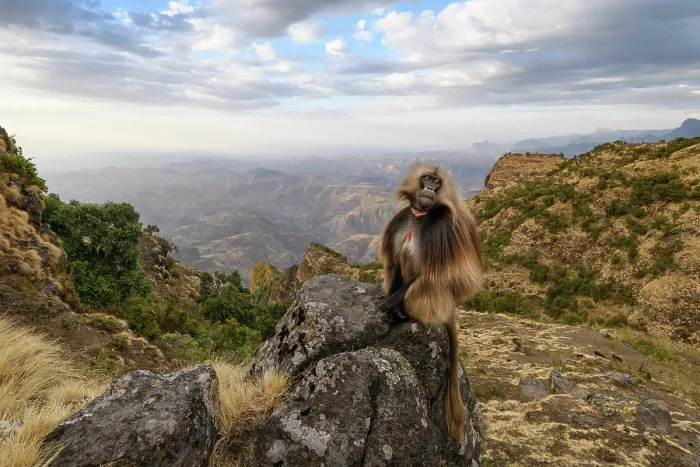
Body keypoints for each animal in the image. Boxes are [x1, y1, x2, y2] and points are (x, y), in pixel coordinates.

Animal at [379, 162, 484, 444]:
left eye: (437, 182)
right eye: (426, 178)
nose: (429, 188)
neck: (419, 215)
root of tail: (448, 310)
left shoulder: (441, 230)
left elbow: (428, 275)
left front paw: (390, 306)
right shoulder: (401, 220)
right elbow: (395, 263)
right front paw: (388, 303)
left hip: (438, 302)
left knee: (430, 281)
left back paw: (407, 313)